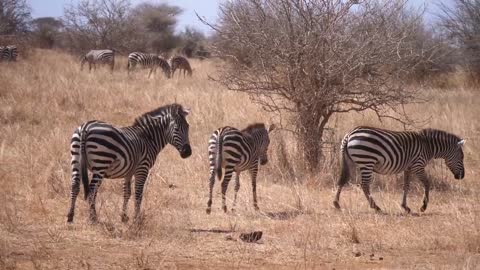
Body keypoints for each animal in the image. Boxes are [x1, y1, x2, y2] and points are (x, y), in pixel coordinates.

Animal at [332, 126, 464, 213]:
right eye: (461, 157)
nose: (461, 176)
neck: (427, 145)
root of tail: (349, 134)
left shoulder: (408, 168)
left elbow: (406, 186)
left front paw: (405, 206)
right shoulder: (418, 165)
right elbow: (427, 183)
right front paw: (423, 206)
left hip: (351, 161)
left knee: (343, 180)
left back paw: (336, 203)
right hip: (367, 161)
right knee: (364, 184)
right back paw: (376, 207)